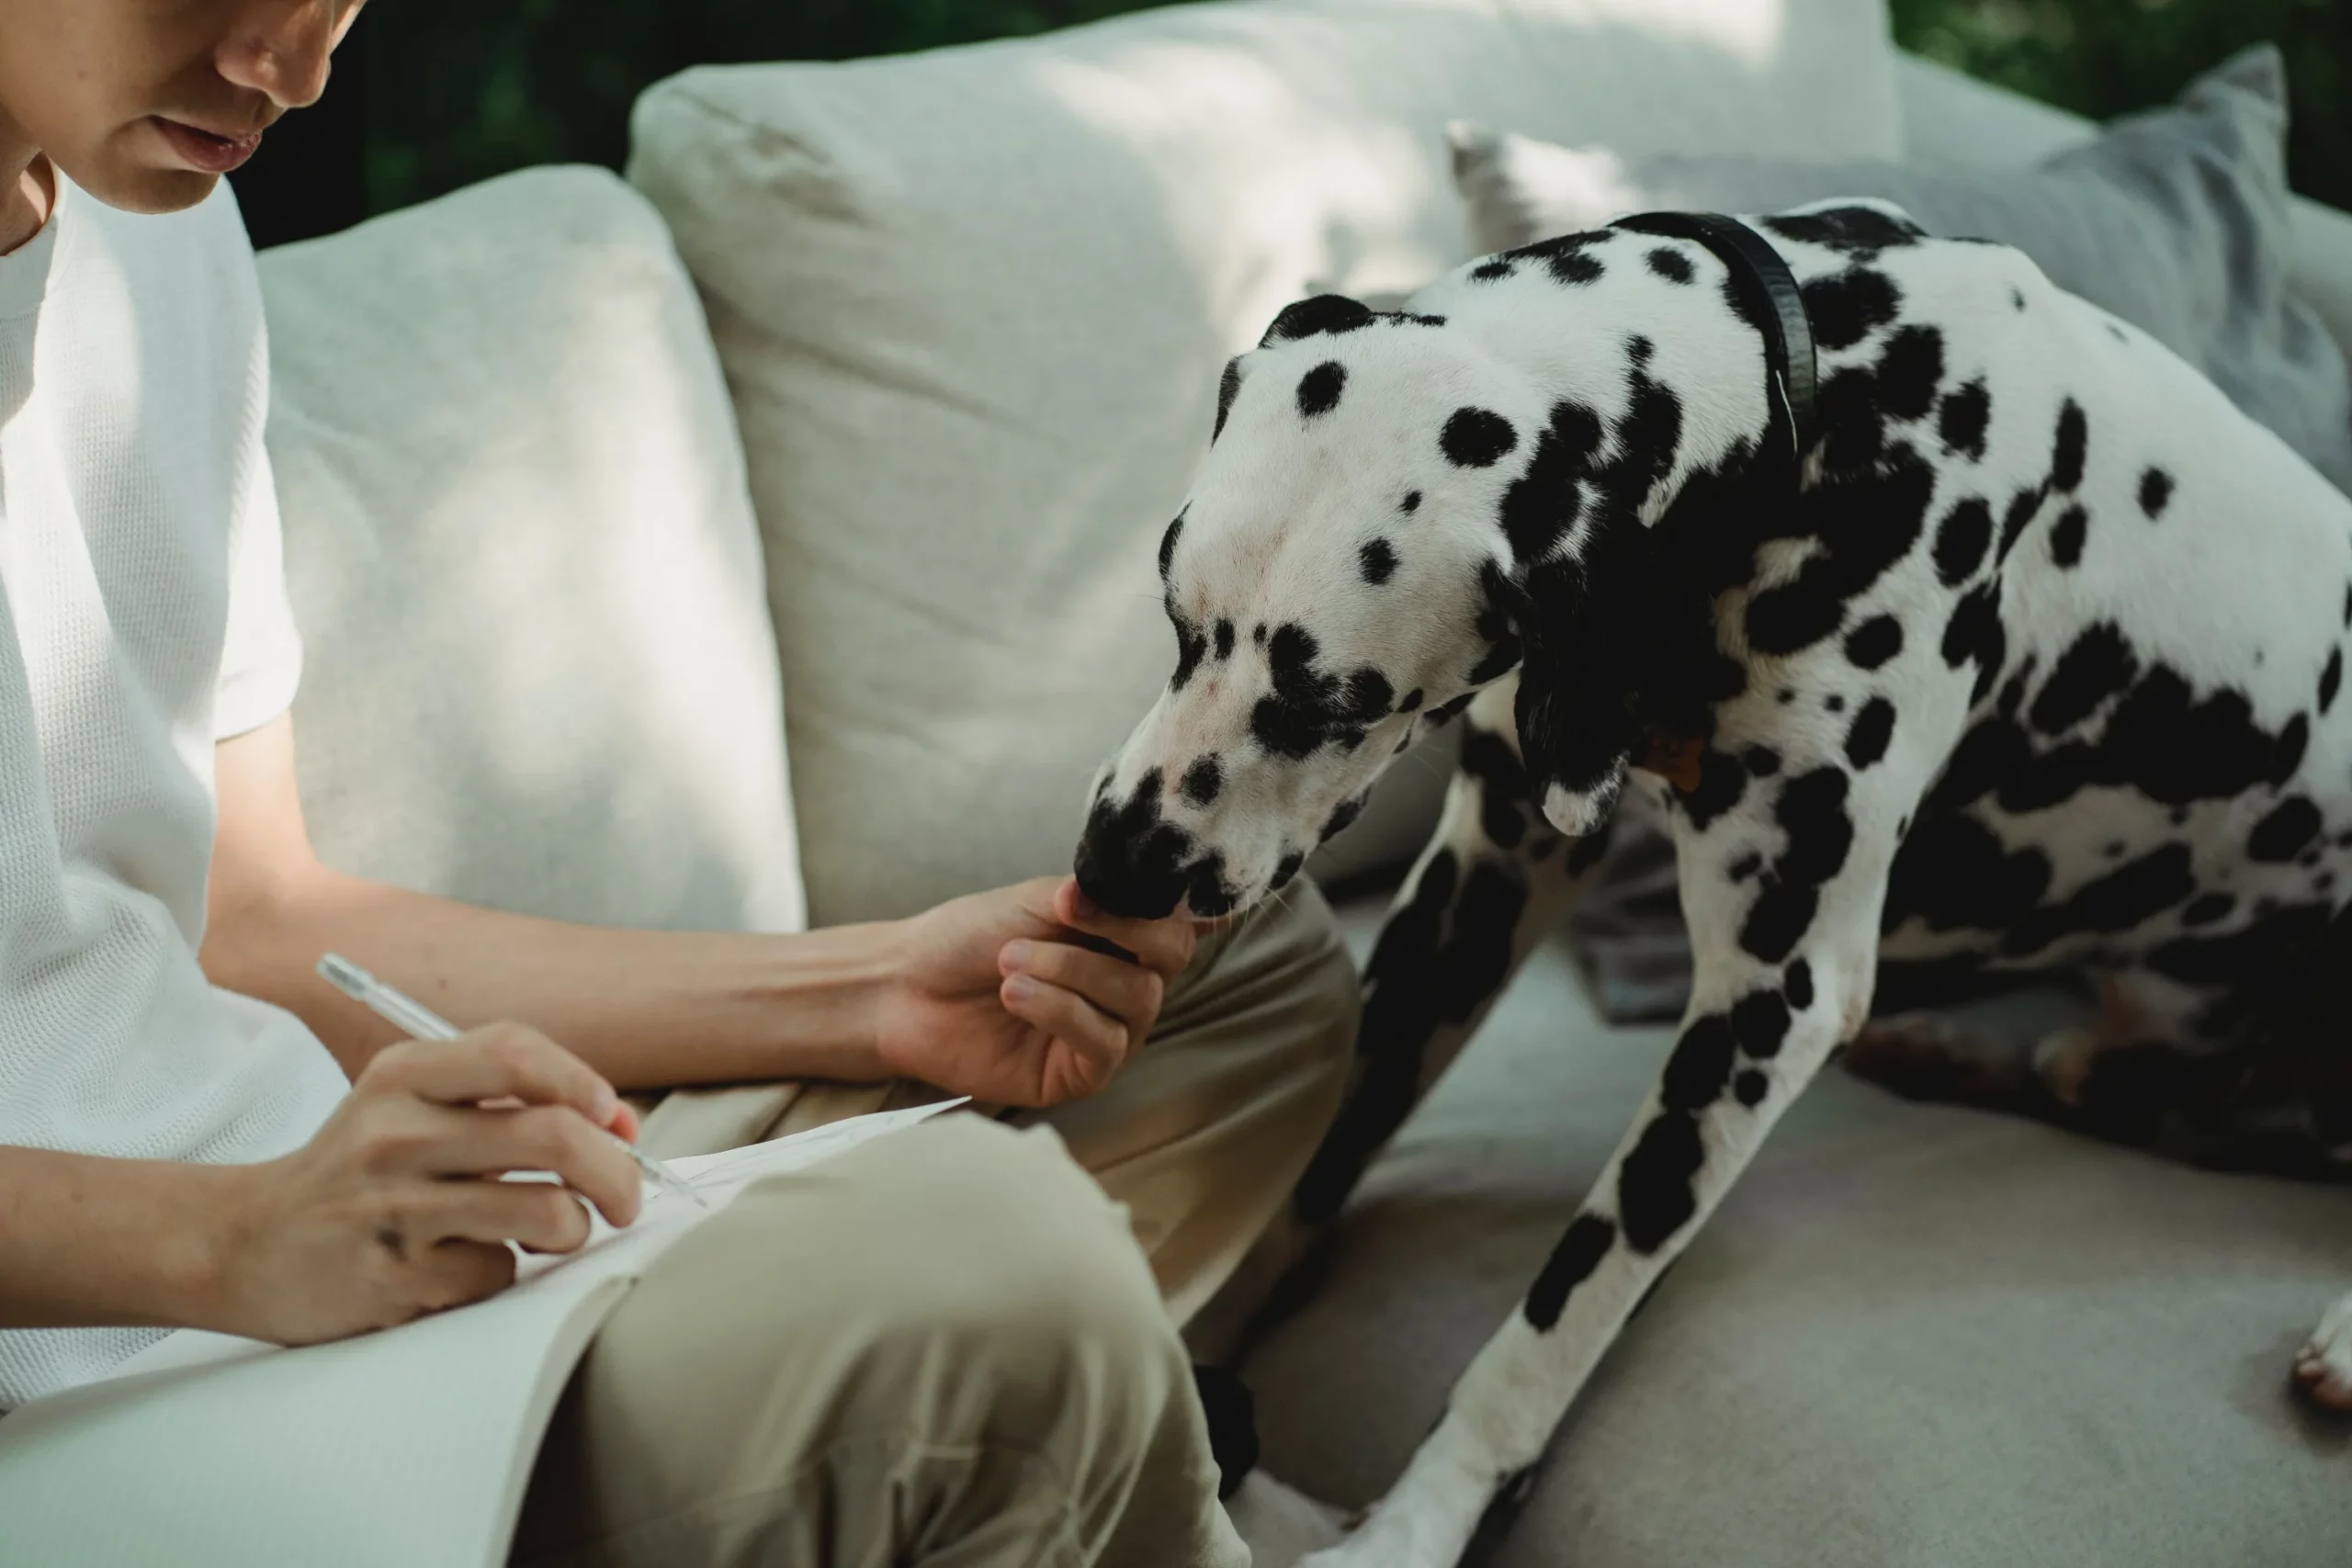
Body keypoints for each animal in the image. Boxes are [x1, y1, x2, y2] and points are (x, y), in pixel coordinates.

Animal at [1077, 199, 2352, 1568]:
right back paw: (1956, 1051)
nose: (1114, 866)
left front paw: (1414, 1526)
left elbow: (1555, 1320)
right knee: (2120, 1087)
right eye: (1173, 615)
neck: (1829, 408)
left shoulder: (1766, 1004)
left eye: (1331, 702)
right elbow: (1326, 1144)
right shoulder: (1483, 873)